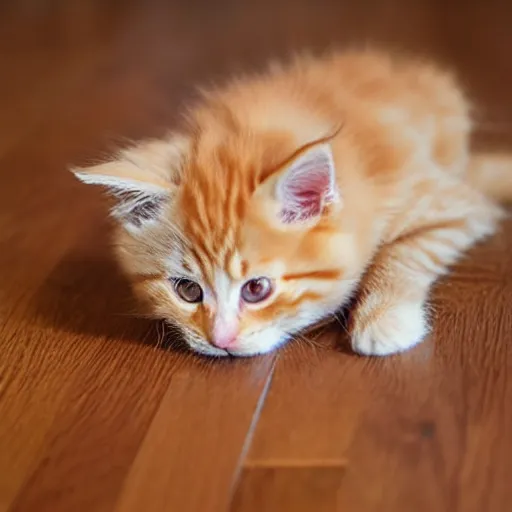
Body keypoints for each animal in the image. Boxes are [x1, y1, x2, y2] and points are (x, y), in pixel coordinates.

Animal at [73, 50, 512, 358]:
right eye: (187, 290)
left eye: (256, 289)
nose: (220, 340)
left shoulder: (453, 203)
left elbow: (403, 254)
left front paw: (383, 319)